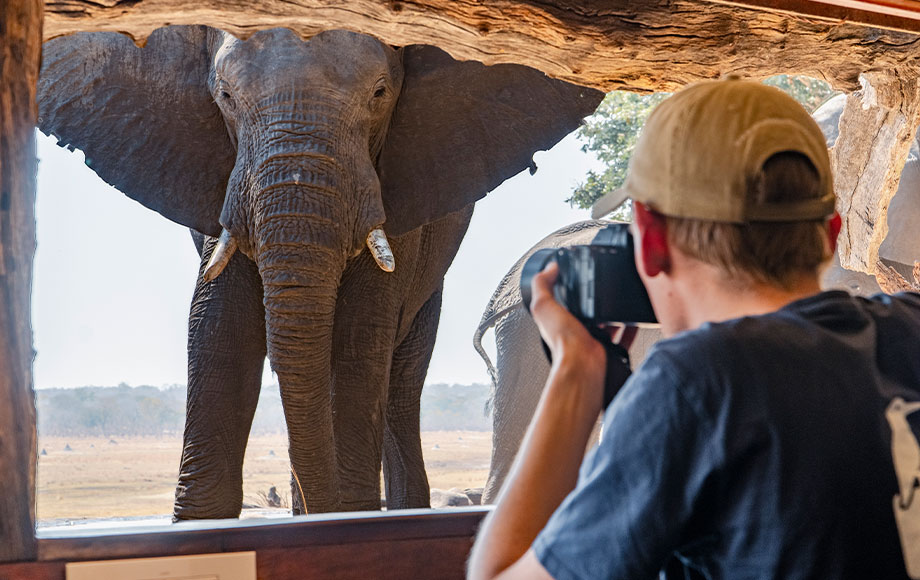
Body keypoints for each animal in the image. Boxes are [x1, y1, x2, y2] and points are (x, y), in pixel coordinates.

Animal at [37, 23, 604, 516]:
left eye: (380, 93)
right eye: (224, 97)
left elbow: (358, 336)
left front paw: (348, 511)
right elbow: (219, 326)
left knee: (398, 382)